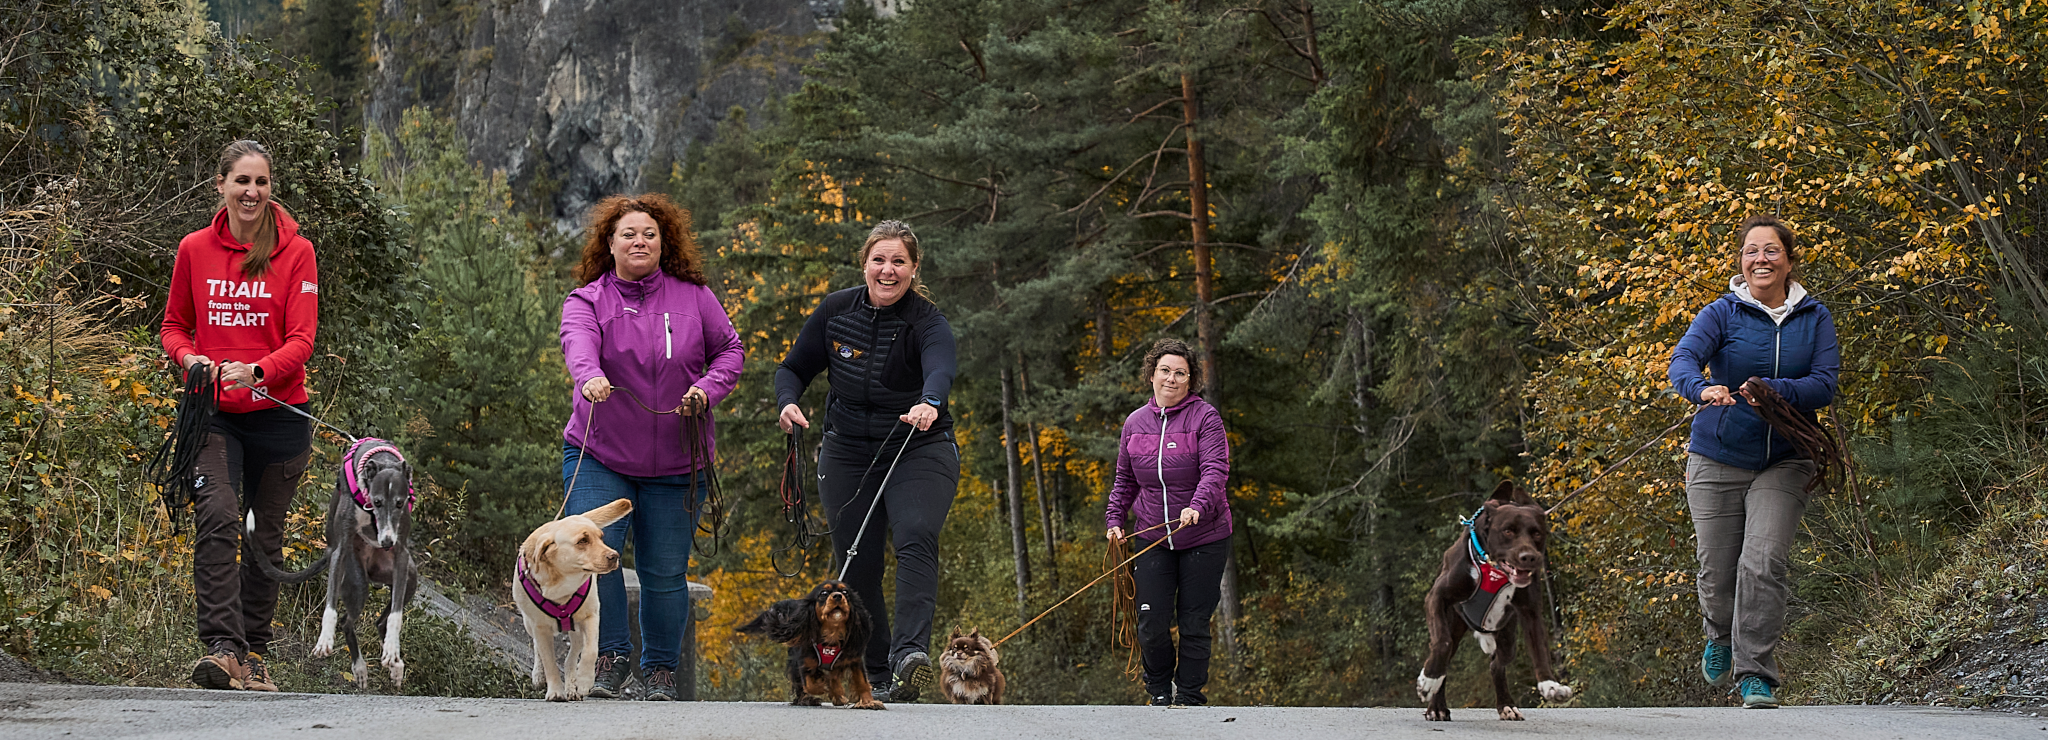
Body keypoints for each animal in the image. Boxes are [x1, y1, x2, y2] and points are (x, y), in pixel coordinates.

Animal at [247, 438, 419, 684]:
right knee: (347, 622)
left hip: (409, 578)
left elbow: (396, 616)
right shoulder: (341, 550)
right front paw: (324, 640)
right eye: (377, 502)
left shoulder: (402, 554)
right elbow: (330, 606)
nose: (386, 542)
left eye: (399, 503)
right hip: (357, 582)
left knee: (381, 621)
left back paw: (394, 665)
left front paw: (392, 649)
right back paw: (359, 668)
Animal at [512, 496, 630, 696]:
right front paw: (554, 691)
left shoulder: (591, 617)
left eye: (601, 538)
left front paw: (584, 681)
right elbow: (549, 661)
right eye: (582, 540)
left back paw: (572, 686)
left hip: (576, 630)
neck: (562, 585)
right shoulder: (540, 627)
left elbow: (590, 652)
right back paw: (539, 675)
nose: (614, 556)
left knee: (572, 658)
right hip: (529, 623)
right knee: (537, 647)